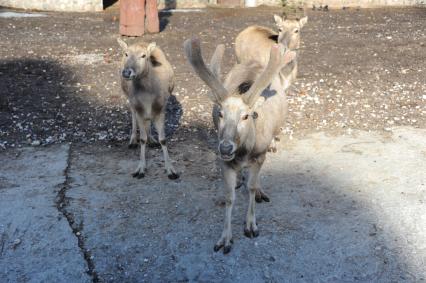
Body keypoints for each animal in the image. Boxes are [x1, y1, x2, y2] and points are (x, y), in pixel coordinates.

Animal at [116, 38, 178, 180]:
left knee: (148, 120)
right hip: (128, 96)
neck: (148, 97)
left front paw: (171, 171)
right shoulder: (138, 106)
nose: (127, 72)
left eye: (143, 56)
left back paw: (152, 139)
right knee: (133, 114)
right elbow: (142, 139)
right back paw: (133, 141)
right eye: (126, 53)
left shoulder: (161, 107)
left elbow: (163, 139)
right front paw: (140, 170)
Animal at [183, 36, 296, 254]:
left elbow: (251, 187)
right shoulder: (225, 162)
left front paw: (251, 225)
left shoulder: (259, 155)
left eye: (246, 116)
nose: (226, 148)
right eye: (220, 114)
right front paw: (225, 239)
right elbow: (229, 197)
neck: (245, 152)